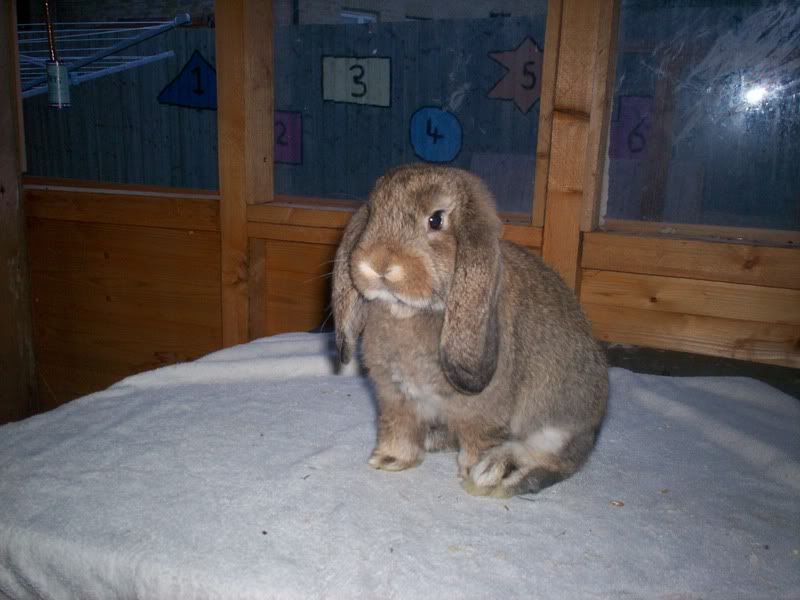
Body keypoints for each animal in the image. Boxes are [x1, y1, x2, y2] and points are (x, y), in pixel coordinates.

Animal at [332, 164, 608, 496]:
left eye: (436, 219)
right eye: (372, 212)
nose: (379, 263)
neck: (410, 313)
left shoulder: (482, 411)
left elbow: (478, 438)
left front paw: (471, 474)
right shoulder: (396, 399)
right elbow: (398, 428)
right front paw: (389, 459)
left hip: (558, 423)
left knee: (556, 461)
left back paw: (495, 472)